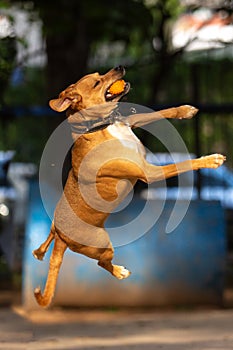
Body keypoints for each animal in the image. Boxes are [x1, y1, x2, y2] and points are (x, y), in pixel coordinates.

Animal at [33, 65, 226, 306]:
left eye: (98, 75)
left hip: (57, 233)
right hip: (102, 245)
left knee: (45, 244)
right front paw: (211, 160)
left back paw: (40, 251)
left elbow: (156, 113)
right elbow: (184, 163)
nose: (120, 66)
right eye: (96, 83)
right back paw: (120, 272)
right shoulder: (150, 172)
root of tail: (61, 236)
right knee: (102, 262)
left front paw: (184, 110)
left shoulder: (132, 121)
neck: (100, 126)